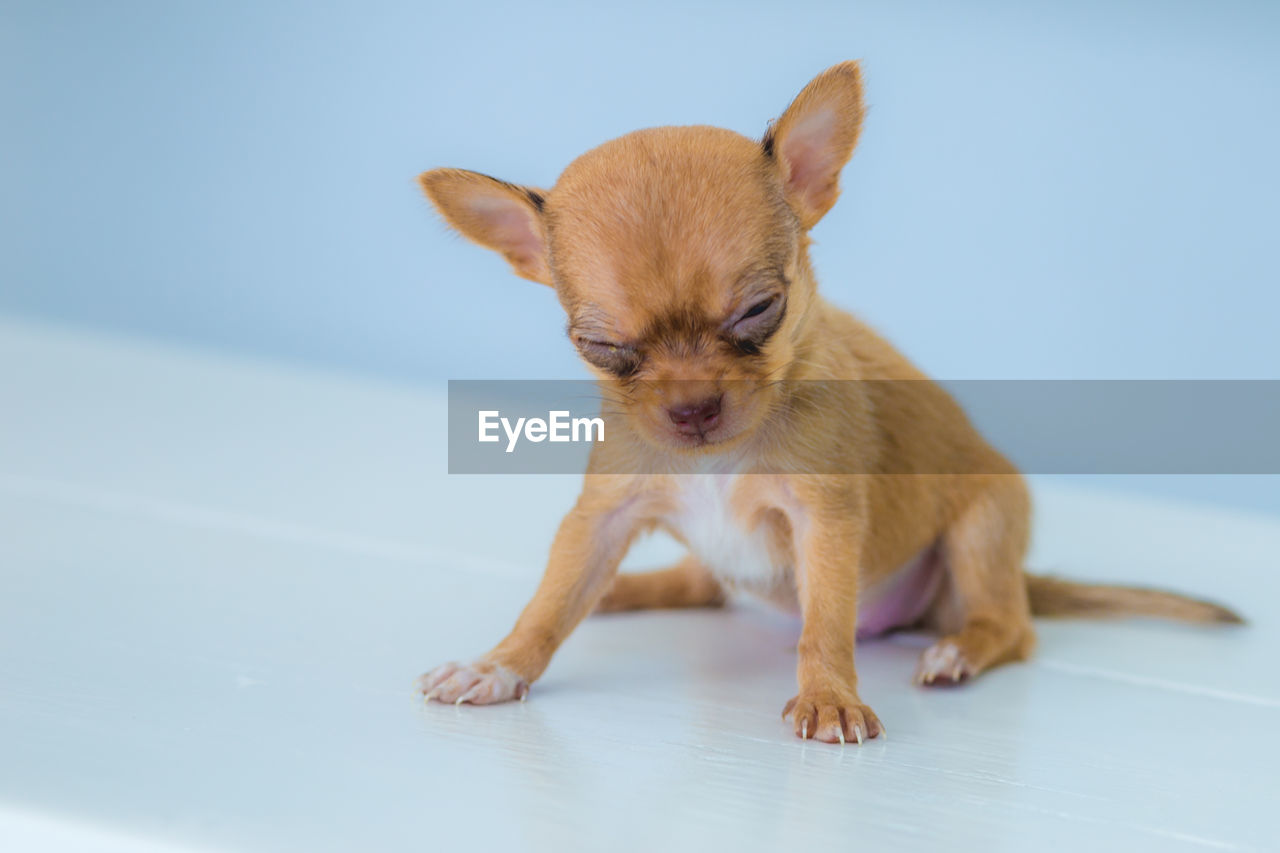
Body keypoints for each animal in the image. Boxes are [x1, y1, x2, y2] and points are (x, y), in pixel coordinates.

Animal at [417, 59, 1239, 742]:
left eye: (760, 311)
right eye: (602, 347)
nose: (692, 410)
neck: (719, 461)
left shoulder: (824, 521)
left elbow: (826, 623)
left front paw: (829, 697)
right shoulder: (603, 516)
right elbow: (552, 603)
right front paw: (498, 663)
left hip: (981, 530)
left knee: (1011, 624)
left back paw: (957, 651)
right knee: (703, 584)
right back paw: (628, 589)